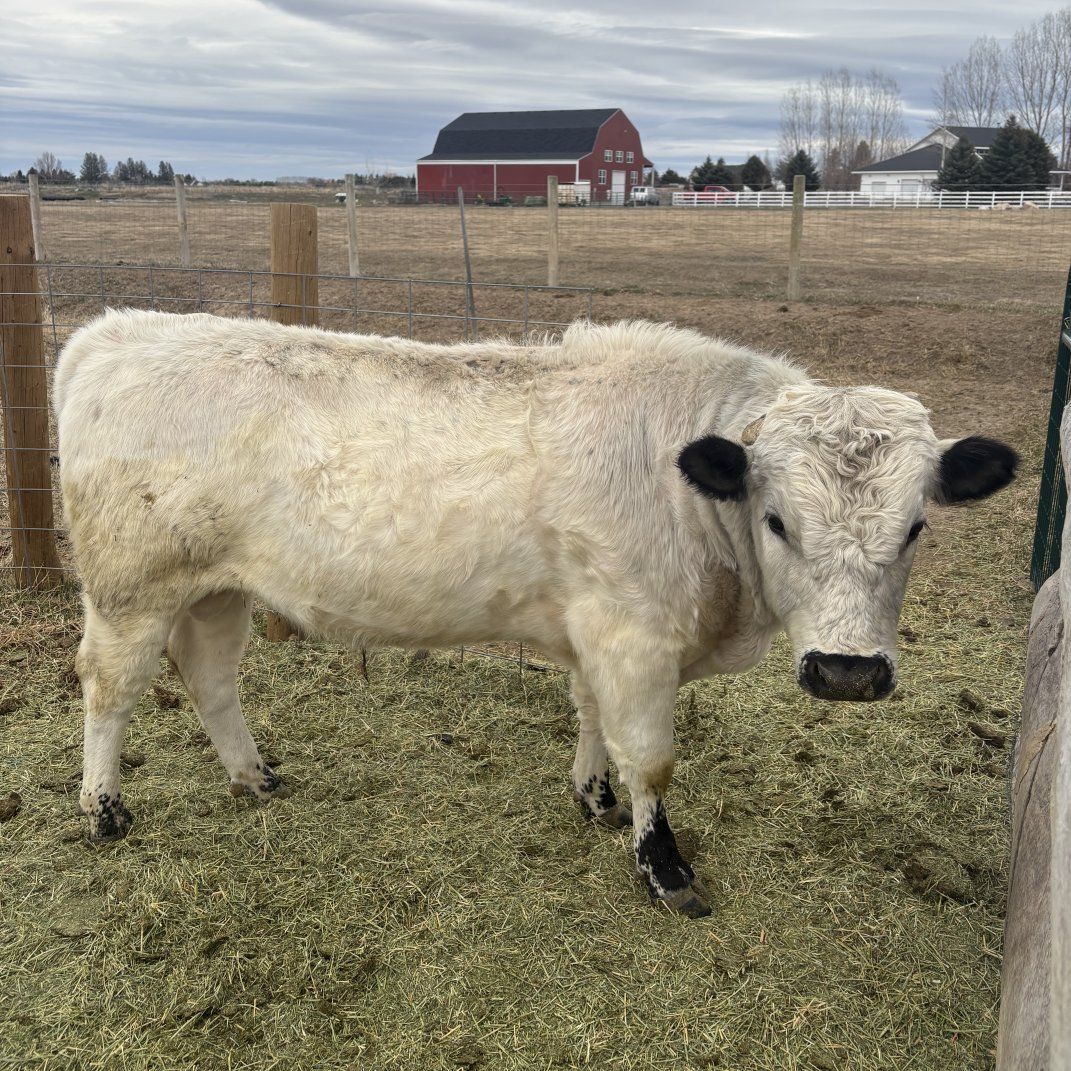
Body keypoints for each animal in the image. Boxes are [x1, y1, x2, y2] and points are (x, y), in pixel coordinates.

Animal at [54, 310, 1017, 917]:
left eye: (916, 525)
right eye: (777, 519)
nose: (847, 671)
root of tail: (118, 332)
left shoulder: (595, 632)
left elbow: (591, 720)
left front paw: (593, 795)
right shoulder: (634, 638)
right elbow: (653, 759)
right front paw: (662, 865)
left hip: (214, 590)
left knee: (210, 678)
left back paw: (253, 775)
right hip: (129, 589)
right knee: (108, 688)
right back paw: (103, 809)